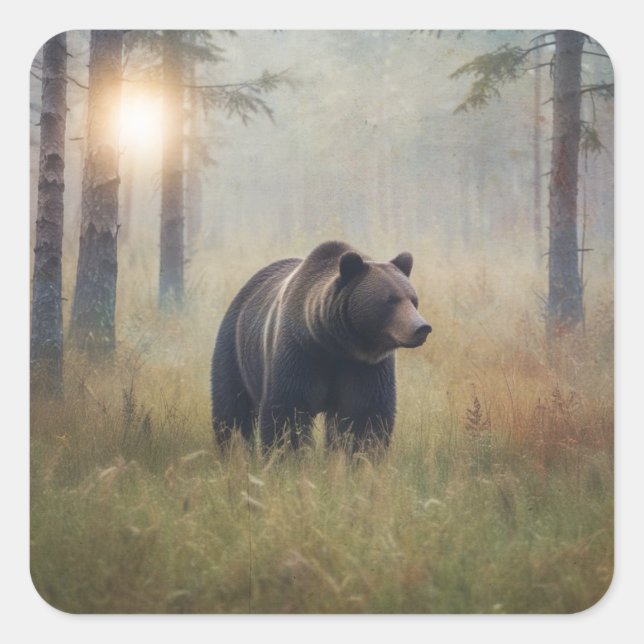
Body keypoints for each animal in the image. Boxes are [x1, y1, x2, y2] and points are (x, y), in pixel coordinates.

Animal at [210, 240, 431, 452]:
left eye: (413, 299)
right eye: (390, 300)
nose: (421, 328)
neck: (333, 344)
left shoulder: (366, 366)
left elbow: (365, 414)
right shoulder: (299, 353)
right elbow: (287, 411)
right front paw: (287, 454)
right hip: (234, 349)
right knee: (231, 407)